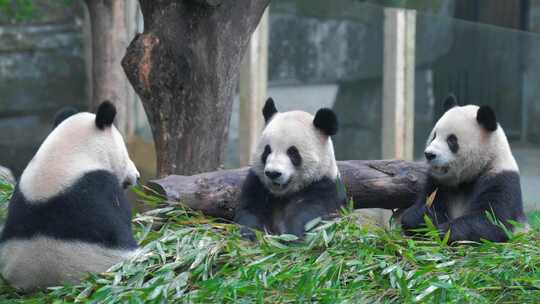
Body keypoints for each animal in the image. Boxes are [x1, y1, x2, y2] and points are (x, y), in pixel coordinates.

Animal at [233, 98, 346, 239]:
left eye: (292, 153)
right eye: (267, 150)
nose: (273, 173)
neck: (282, 194)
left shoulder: (323, 185)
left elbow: (310, 212)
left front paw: (291, 234)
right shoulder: (257, 182)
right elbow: (250, 209)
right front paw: (251, 233)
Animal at [400, 95, 528, 242]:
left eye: (451, 140)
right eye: (434, 136)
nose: (429, 154)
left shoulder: (501, 178)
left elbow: (492, 222)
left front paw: (442, 232)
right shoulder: (437, 183)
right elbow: (419, 209)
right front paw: (426, 217)